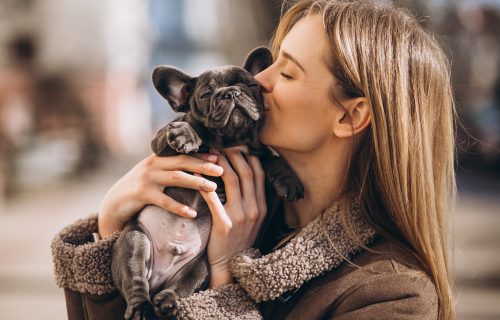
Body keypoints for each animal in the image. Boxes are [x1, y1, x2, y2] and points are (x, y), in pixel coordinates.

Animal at [111, 47, 302, 320]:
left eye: (250, 84)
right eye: (205, 94)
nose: (231, 92)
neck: (230, 140)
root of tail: (159, 279)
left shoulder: (257, 154)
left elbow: (272, 157)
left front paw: (288, 179)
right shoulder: (160, 143)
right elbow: (193, 127)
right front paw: (188, 134)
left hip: (201, 266)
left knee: (181, 286)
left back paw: (167, 302)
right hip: (134, 241)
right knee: (135, 280)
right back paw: (142, 310)